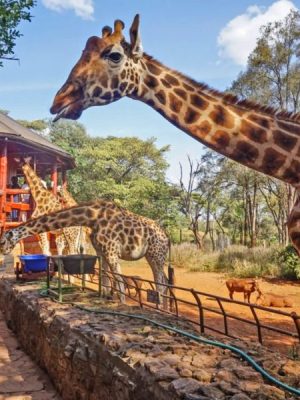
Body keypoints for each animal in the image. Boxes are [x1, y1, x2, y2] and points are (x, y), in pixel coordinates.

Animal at [0, 202, 170, 302]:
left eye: (2, 242)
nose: (3, 252)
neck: (92, 219)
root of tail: (167, 237)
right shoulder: (102, 251)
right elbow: (105, 276)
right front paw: (106, 297)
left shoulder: (111, 251)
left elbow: (119, 279)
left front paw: (121, 303)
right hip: (152, 256)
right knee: (166, 280)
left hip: (156, 254)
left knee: (161, 283)